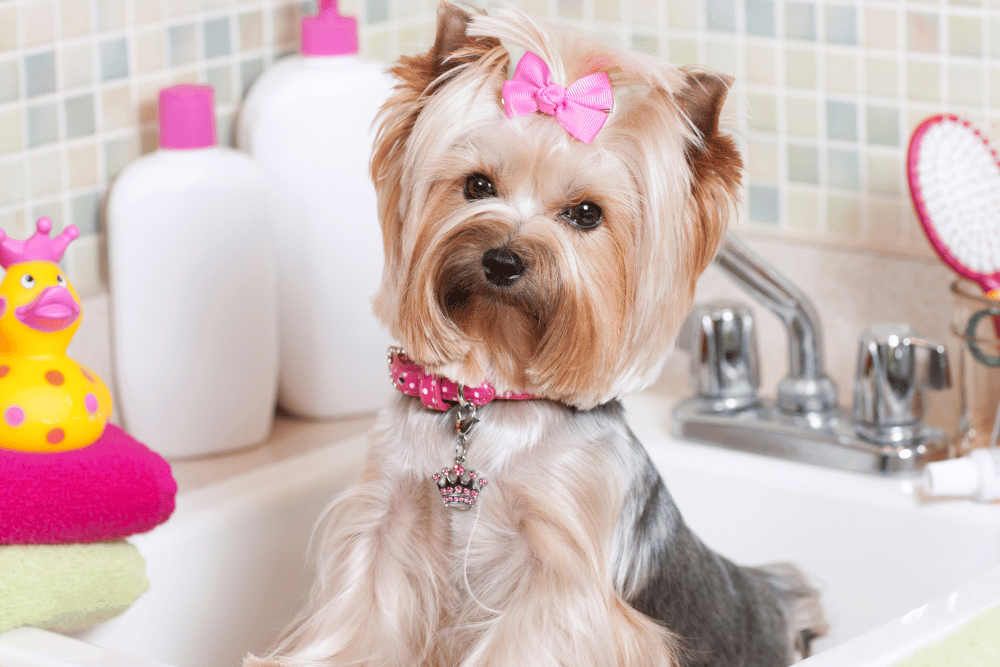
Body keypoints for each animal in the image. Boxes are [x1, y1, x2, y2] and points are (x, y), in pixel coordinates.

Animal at [246, 2, 824, 664]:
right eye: (477, 185)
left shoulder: (561, 576)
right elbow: (359, 625)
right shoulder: (384, 527)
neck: (489, 400)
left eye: (586, 214)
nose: (502, 260)